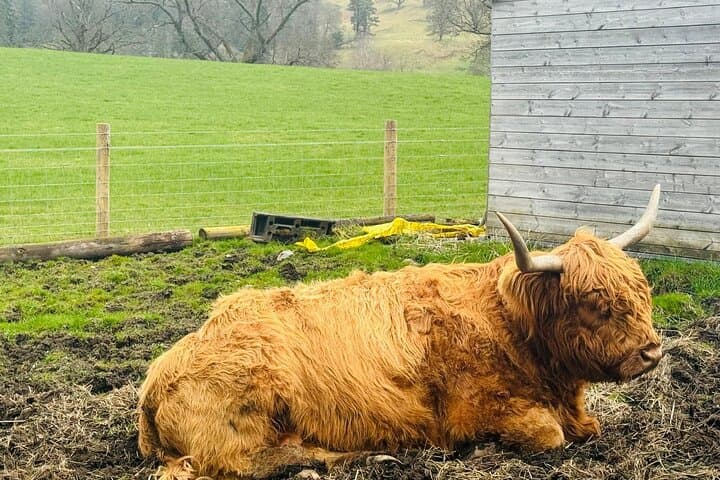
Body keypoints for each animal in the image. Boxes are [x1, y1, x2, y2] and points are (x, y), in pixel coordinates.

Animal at [138, 185, 663, 480]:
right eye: (595, 302)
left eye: (642, 291)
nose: (652, 354)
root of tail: (155, 378)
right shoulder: (474, 411)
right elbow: (548, 435)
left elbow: (589, 428)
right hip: (246, 413)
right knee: (245, 462)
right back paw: (358, 459)